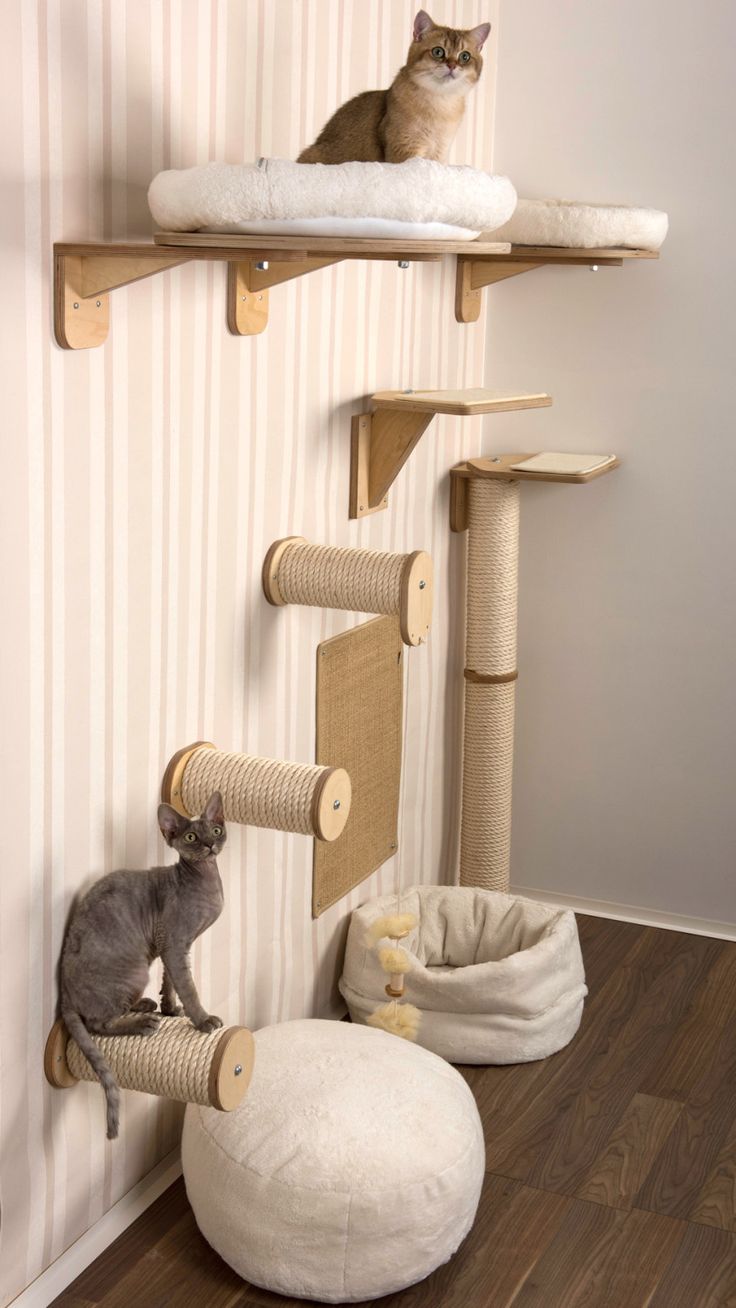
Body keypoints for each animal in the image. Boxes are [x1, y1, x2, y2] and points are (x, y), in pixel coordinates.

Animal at [296, 10, 491, 166]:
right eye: (438, 52)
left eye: (465, 56)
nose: (452, 65)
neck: (440, 105)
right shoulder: (404, 148)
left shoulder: (438, 153)